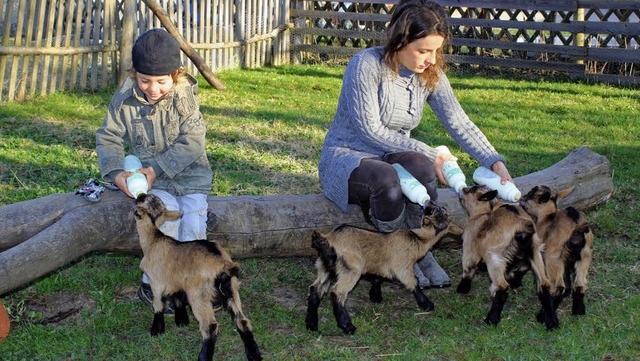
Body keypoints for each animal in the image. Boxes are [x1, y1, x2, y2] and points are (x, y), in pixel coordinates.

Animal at [134, 194, 262, 360]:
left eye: (143, 201)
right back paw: (253, 354)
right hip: (231, 289)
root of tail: (222, 263)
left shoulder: (157, 282)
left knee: (210, 326)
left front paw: (157, 330)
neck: (153, 240)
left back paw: (204, 356)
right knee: (242, 320)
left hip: (199, 294)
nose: (139, 195)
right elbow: (178, 297)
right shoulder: (178, 280)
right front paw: (181, 320)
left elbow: (158, 305)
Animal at [304, 201, 460, 334]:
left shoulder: (378, 265)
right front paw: (427, 304)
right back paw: (348, 326)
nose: (430, 203)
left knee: (315, 290)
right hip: (351, 269)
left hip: (325, 268)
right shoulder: (402, 267)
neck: (417, 238)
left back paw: (311, 325)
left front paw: (376, 297)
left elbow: (377, 278)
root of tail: (328, 239)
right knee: (337, 293)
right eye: (439, 211)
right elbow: (413, 282)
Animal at [458, 186, 556, 330]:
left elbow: (467, 267)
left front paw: (462, 288)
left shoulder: (469, 246)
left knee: (502, 286)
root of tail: (522, 225)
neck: (482, 213)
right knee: (543, 283)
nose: (462, 189)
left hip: (494, 257)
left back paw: (491, 319)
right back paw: (552, 322)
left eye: (470, 190)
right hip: (535, 251)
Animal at [520, 186, 596, 320]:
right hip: (584, 256)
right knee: (579, 284)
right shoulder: (564, 262)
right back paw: (578, 311)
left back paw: (542, 316)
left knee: (559, 286)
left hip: (553, 258)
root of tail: (578, 228)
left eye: (530, 196)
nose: (521, 198)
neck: (548, 218)